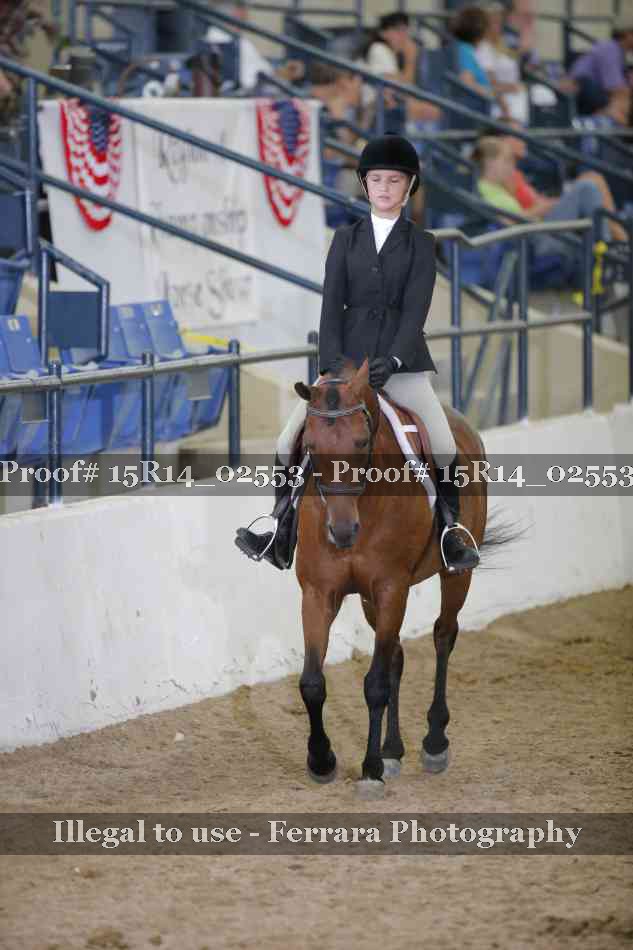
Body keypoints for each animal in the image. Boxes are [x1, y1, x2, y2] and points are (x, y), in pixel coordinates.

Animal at [292, 358, 491, 797]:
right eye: (310, 447)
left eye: (361, 442)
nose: (342, 533)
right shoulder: (319, 593)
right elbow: (312, 682)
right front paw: (321, 760)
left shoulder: (390, 590)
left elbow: (375, 685)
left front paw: (369, 770)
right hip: (370, 601)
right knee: (397, 655)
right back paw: (393, 750)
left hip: (455, 577)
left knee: (443, 635)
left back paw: (434, 742)